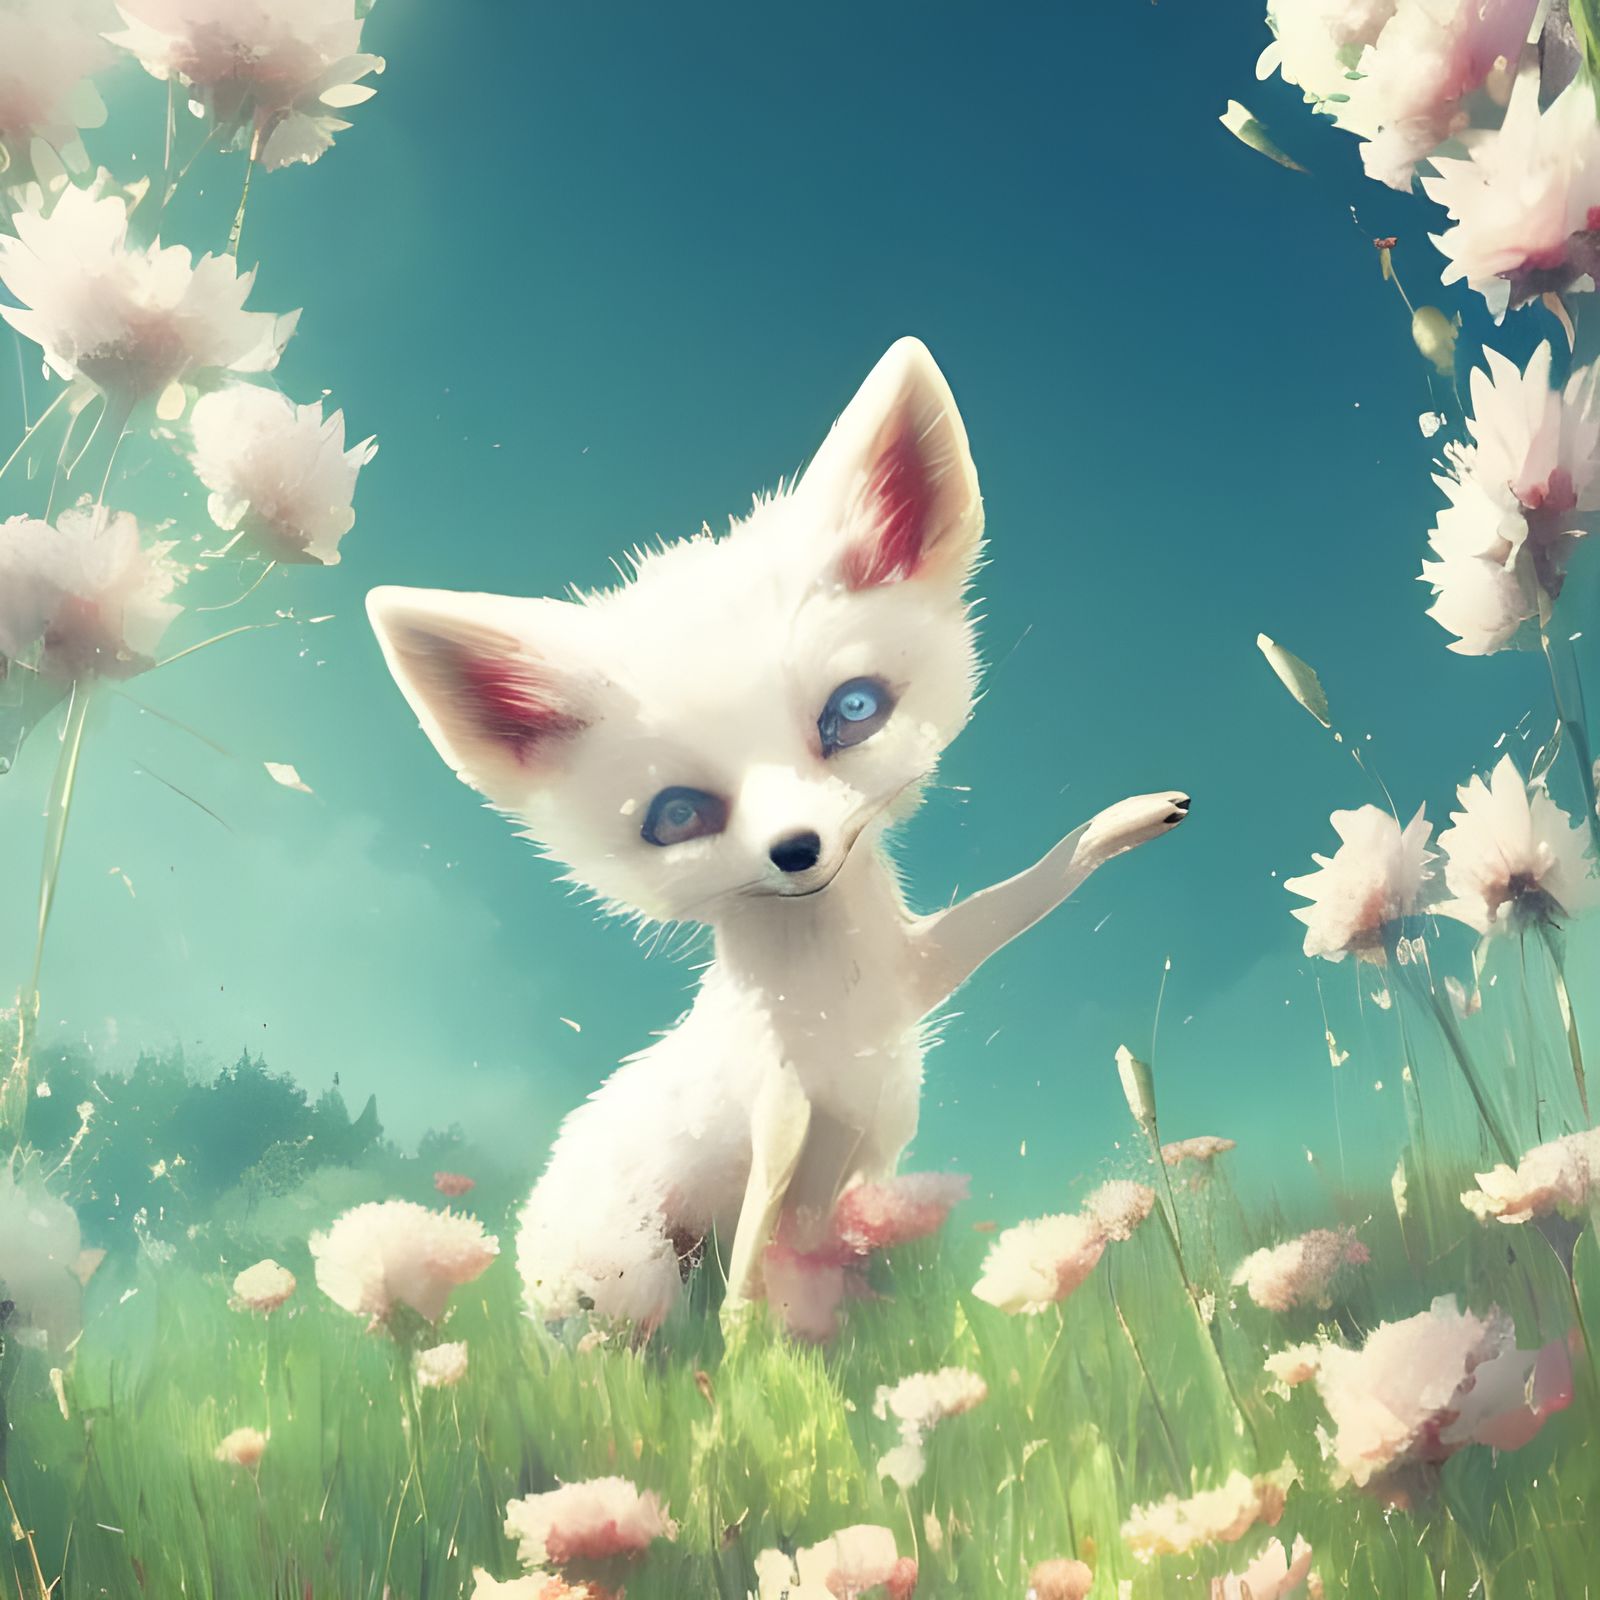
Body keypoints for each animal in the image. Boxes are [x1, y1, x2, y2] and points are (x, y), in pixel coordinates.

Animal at [366, 337, 1188, 1331]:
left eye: (854, 713)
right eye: (678, 815)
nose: (798, 851)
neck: (833, 985)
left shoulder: (917, 974)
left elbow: (1015, 898)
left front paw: (1123, 822)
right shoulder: (782, 1110)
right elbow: (752, 1291)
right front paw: (762, 1354)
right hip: (631, 1271)